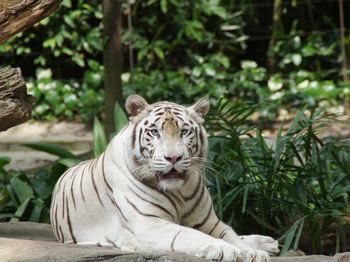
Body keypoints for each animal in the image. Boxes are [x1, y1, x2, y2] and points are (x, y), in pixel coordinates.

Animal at [50, 95, 278, 260]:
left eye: (184, 132)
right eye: (154, 132)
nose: (173, 157)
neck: (180, 191)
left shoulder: (209, 221)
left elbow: (230, 233)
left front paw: (251, 252)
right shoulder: (148, 223)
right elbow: (188, 234)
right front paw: (226, 250)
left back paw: (267, 243)